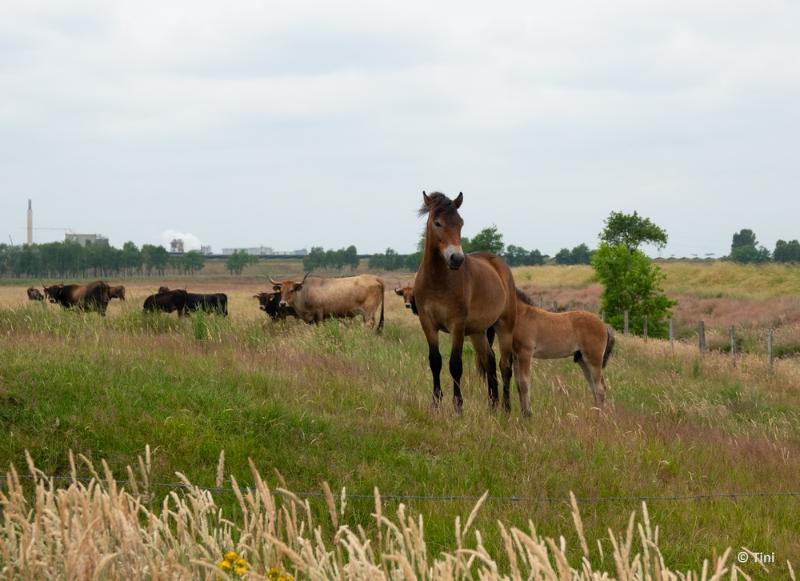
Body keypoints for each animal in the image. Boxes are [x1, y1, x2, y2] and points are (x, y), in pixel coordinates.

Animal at [412, 191, 520, 412]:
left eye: (460, 223)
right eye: (437, 223)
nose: (456, 259)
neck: (437, 281)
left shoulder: (457, 326)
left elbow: (455, 364)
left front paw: (458, 406)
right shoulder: (428, 324)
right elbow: (435, 361)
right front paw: (435, 403)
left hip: (504, 327)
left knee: (505, 366)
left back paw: (506, 408)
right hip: (478, 332)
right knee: (490, 361)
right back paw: (492, 405)